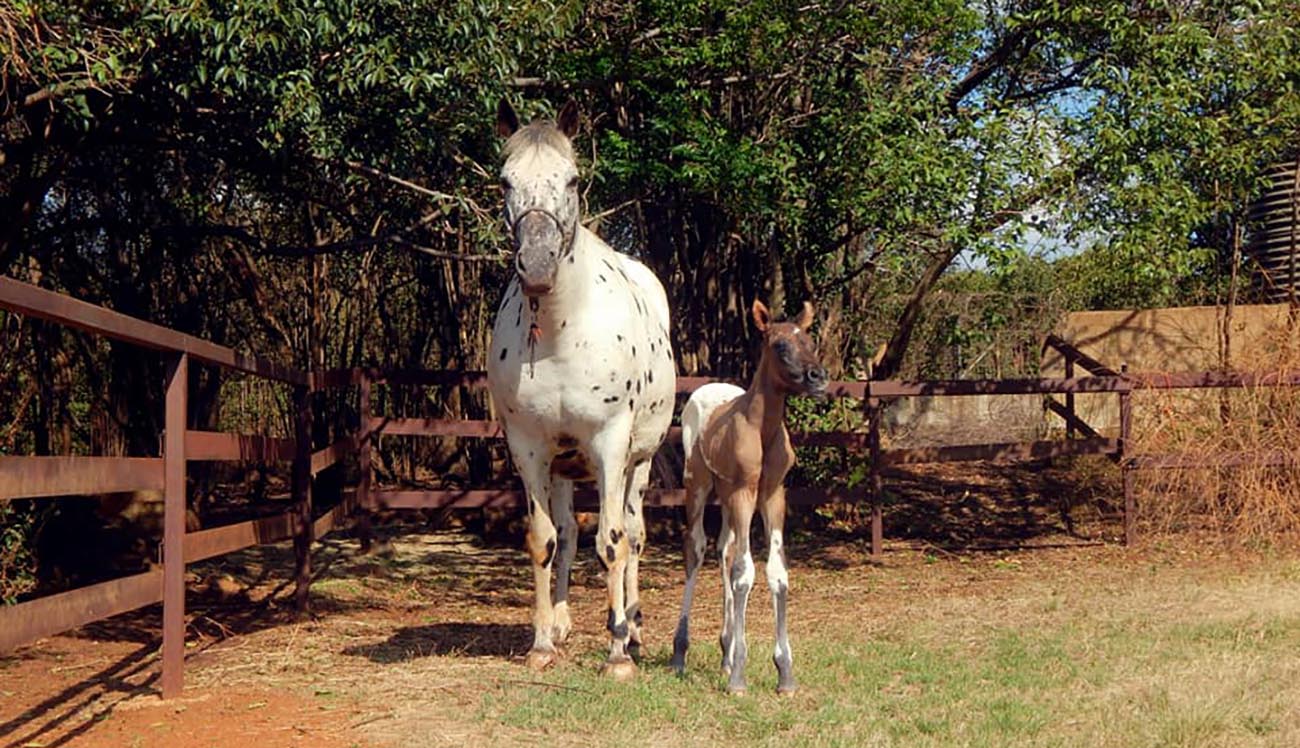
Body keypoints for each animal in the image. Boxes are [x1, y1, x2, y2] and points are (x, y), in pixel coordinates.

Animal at [488, 98, 681, 676]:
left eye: (572, 180)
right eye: (505, 181)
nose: (537, 266)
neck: (559, 332)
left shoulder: (610, 446)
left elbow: (613, 544)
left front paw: (617, 653)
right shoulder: (529, 450)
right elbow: (544, 540)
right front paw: (541, 642)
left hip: (636, 465)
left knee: (633, 537)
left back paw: (632, 630)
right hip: (563, 468)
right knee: (570, 536)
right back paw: (562, 624)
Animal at [676, 300, 826, 697]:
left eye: (810, 340)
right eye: (780, 346)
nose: (818, 377)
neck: (762, 429)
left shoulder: (773, 496)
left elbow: (776, 572)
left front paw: (784, 673)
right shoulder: (745, 492)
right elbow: (745, 573)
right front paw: (740, 676)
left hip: (727, 496)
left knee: (724, 549)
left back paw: (726, 652)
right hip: (699, 485)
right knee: (697, 548)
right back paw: (680, 653)